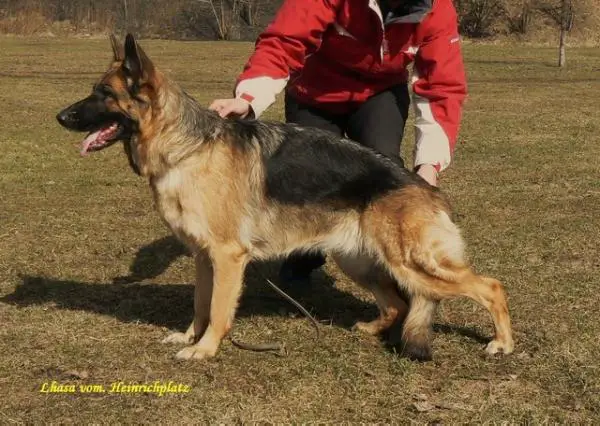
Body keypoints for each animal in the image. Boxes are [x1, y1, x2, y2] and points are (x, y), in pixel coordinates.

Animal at [56, 35, 512, 362]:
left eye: (103, 93)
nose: (60, 117)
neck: (187, 147)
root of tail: (425, 188)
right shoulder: (204, 257)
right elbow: (200, 304)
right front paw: (189, 337)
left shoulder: (227, 257)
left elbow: (218, 310)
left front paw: (205, 350)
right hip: (359, 261)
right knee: (398, 304)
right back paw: (372, 329)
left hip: (412, 263)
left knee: (490, 286)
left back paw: (502, 343)